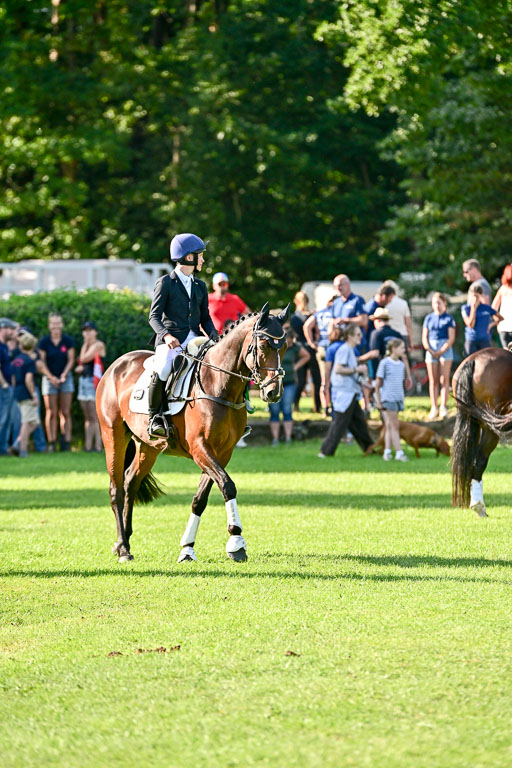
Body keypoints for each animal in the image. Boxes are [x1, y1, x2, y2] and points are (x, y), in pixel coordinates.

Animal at [95, 303, 289, 563]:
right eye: (263, 346)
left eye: (284, 347)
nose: (273, 393)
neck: (220, 384)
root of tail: (116, 366)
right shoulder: (200, 448)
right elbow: (227, 485)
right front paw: (236, 541)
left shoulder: (222, 452)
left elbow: (200, 499)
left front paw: (188, 548)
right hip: (113, 436)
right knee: (116, 489)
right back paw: (124, 550)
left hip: (148, 446)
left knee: (130, 483)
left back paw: (122, 541)